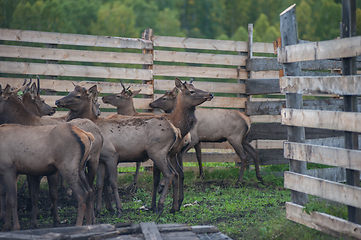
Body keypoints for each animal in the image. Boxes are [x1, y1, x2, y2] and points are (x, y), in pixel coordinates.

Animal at [0, 83, 102, 227]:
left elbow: (49, 194)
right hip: (81, 167)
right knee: (89, 190)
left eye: (77, 96)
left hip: (91, 162)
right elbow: (33, 194)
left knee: (90, 189)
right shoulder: (31, 169)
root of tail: (91, 133)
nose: (57, 102)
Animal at [56, 83, 186, 215]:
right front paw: (99, 210)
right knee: (177, 173)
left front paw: (118, 209)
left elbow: (113, 182)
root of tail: (175, 130)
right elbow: (100, 184)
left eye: (77, 96)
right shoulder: (101, 160)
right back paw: (173, 207)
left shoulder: (112, 155)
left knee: (170, 174)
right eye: (70, 92)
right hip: (169, 154)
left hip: (157, 152)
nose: (57, 101)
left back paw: (160, 206)